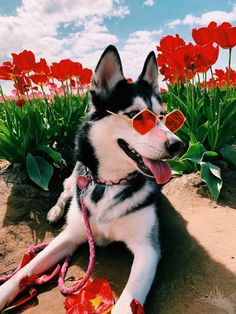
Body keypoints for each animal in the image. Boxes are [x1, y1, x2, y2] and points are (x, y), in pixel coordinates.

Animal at [0, 45, 183, 312]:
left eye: (162, 117)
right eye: (136, 116)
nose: (178, 144)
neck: (110, 184)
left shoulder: (147, 248)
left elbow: (128, 302)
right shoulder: (72, 234)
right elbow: (28, 268)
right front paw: (4, 290)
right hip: (74, 175)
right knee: (64, 192)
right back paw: (55, 211)